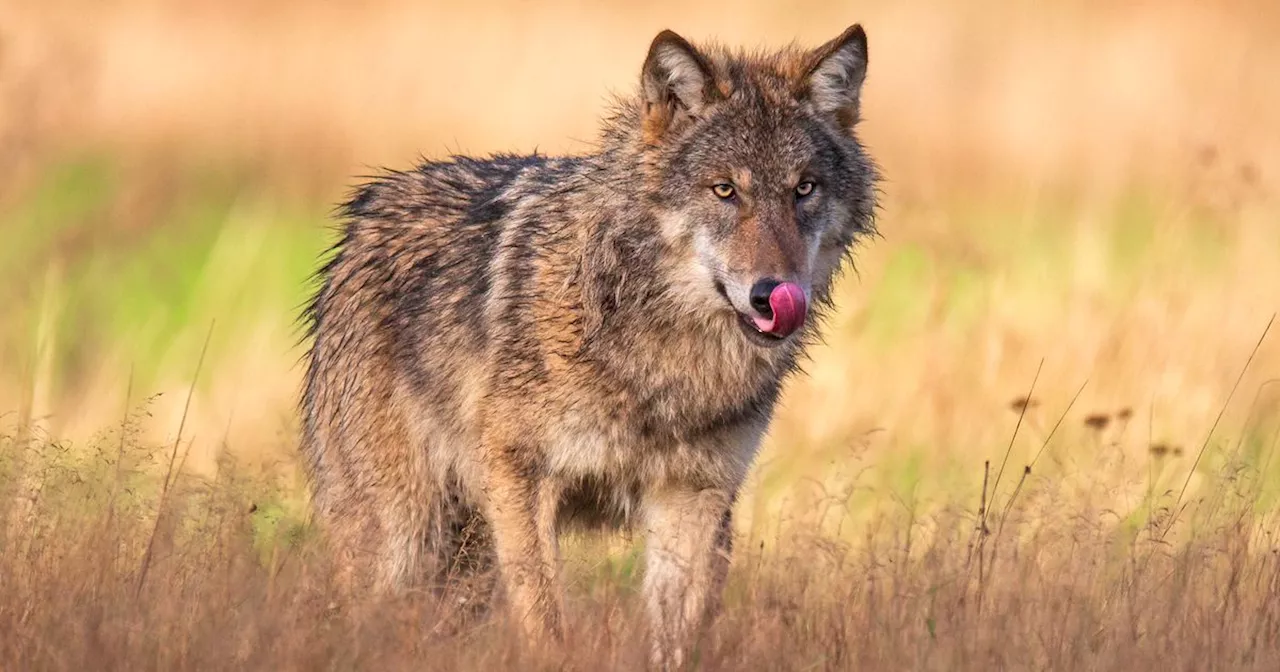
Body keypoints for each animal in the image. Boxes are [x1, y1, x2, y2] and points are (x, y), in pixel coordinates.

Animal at [299, 22, 880, 665]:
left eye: (804, 189)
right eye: (725, 190)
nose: (773, 295)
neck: (663, 354)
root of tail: (365, 212)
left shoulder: (693, 499)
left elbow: (675, 638)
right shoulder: (522, 478)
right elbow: (545, 620)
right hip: (402, 537)